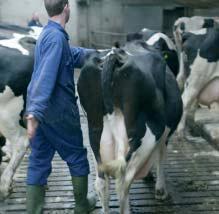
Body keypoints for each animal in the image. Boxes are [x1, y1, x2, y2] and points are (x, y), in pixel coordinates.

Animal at [78, 40, 182, 214]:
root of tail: (114, 56)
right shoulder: (164, 135)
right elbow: (161, 157)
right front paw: (160, 190)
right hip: (144, 136)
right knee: (123, 182)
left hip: (96, 136)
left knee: (102, 183)